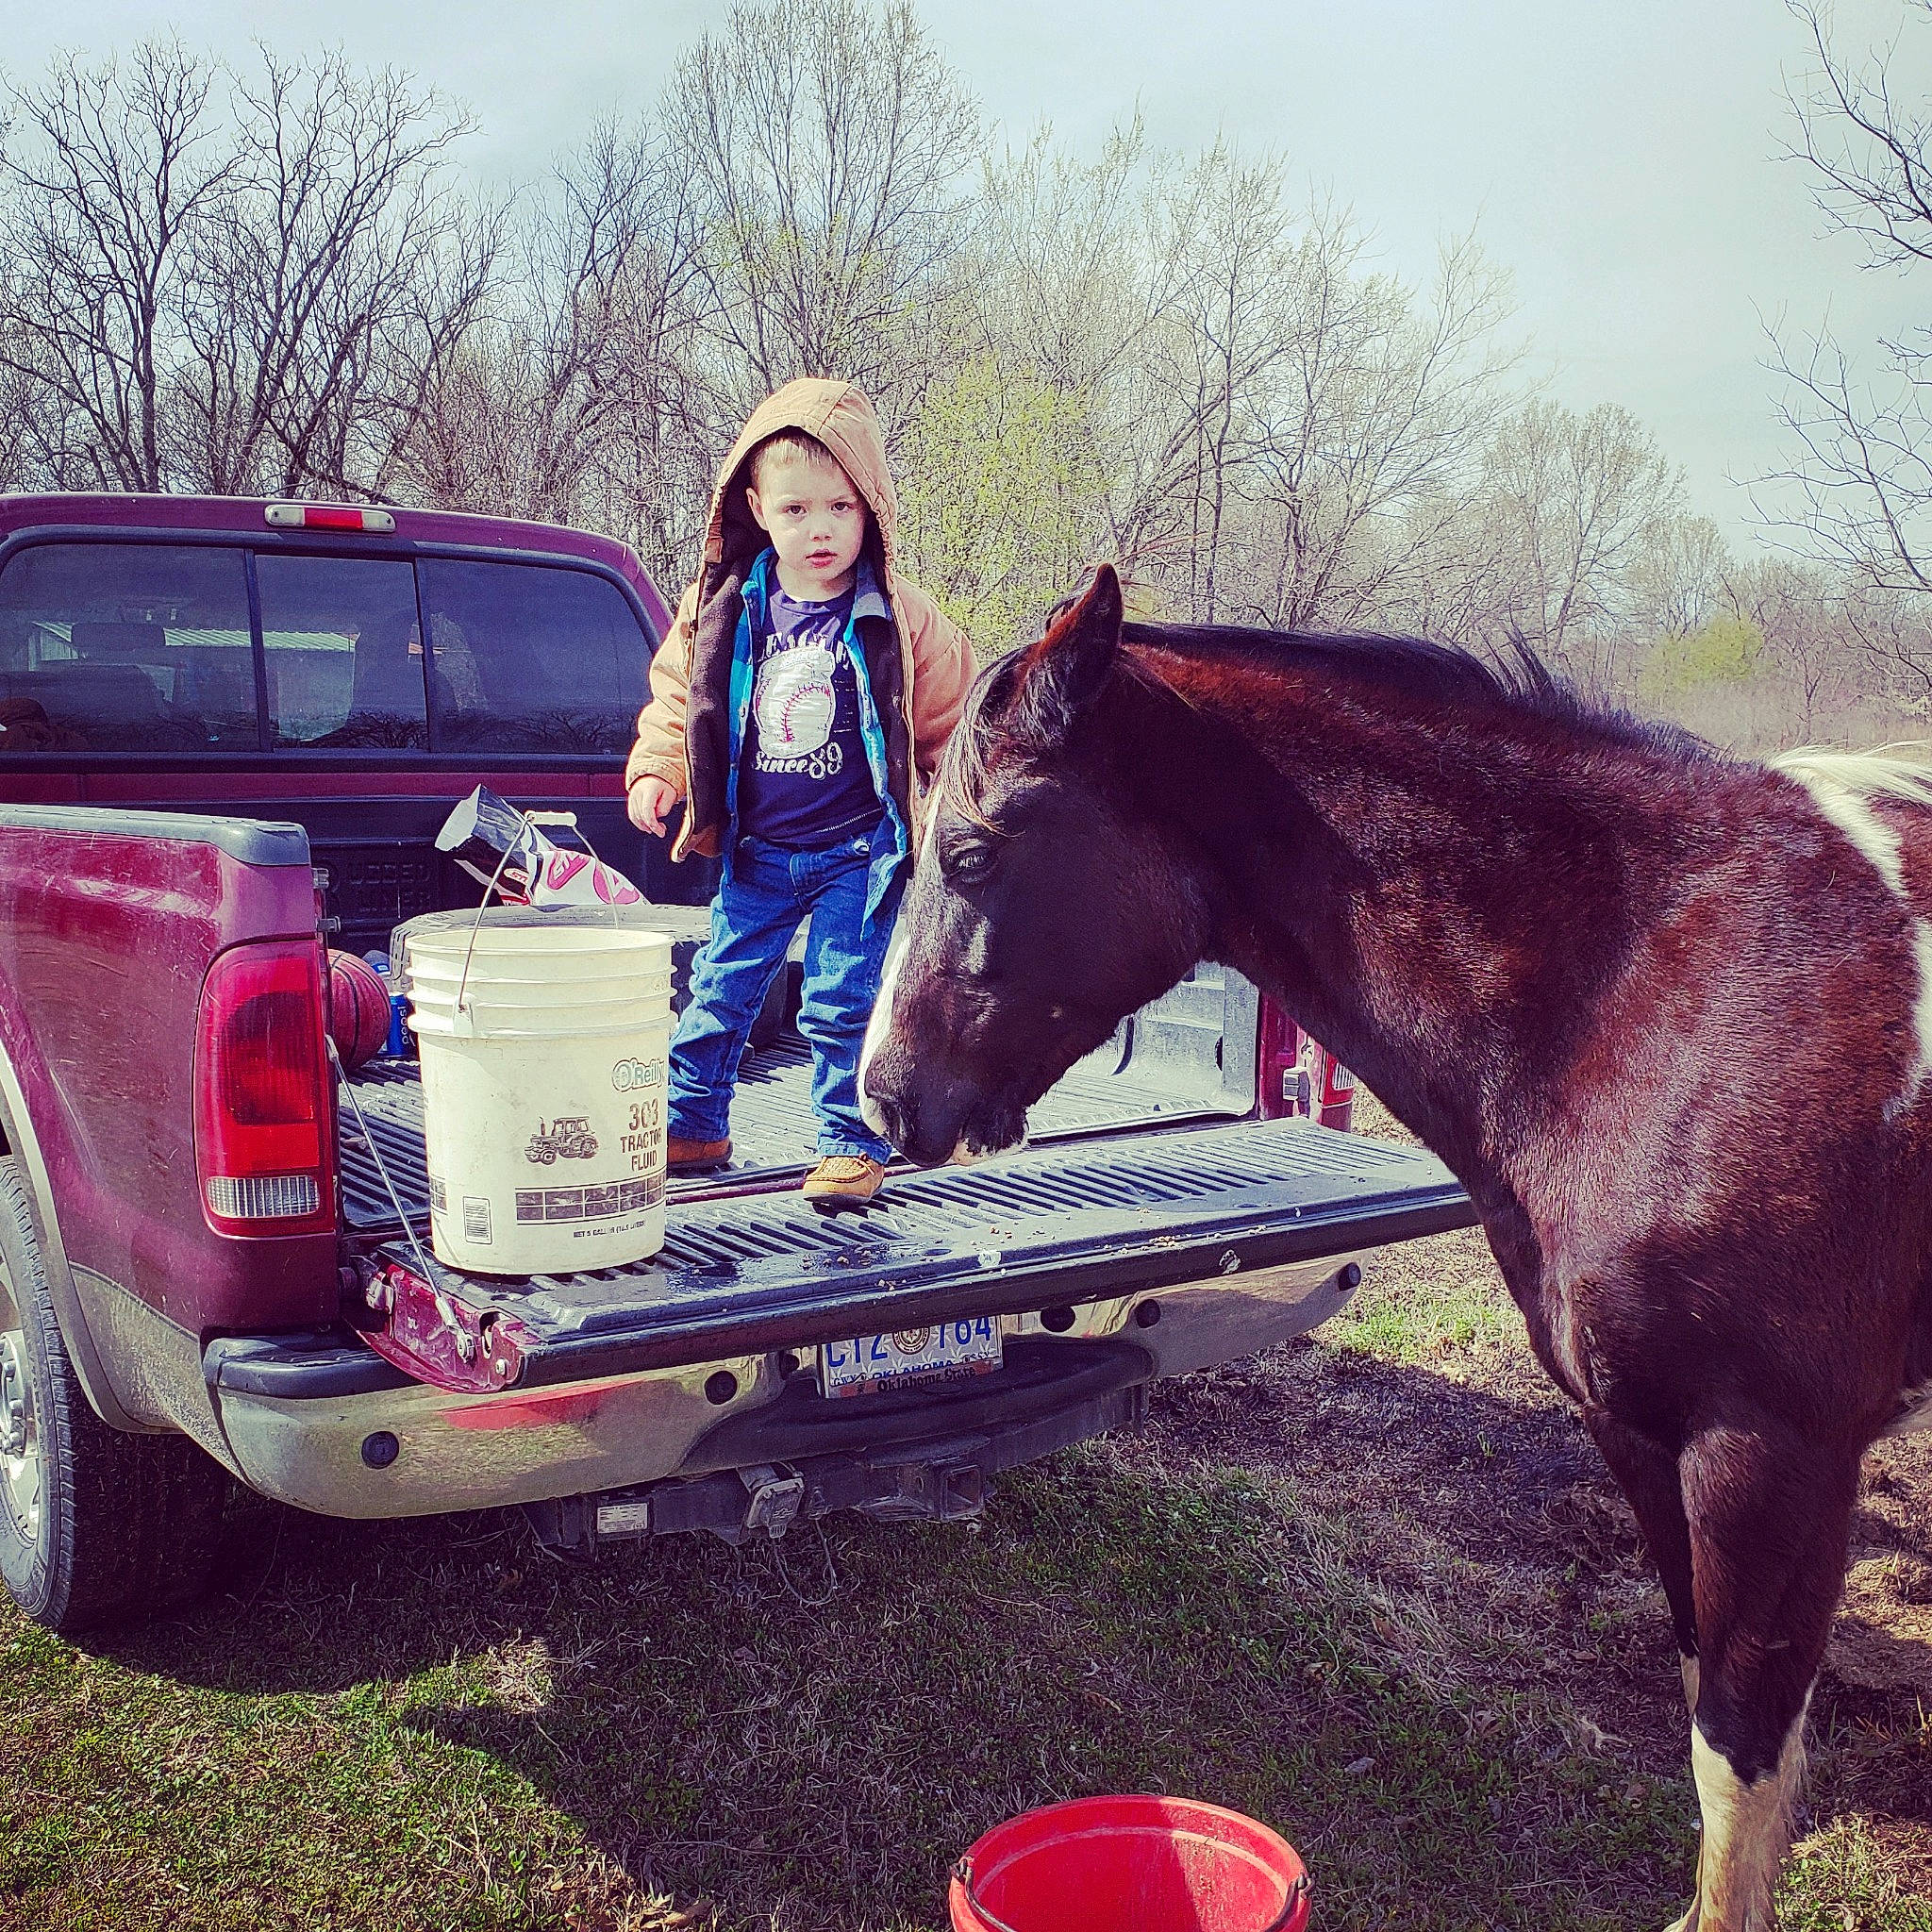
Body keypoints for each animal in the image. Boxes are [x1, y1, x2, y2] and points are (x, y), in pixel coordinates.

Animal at [858, 563, 1932, 1930]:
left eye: (972, 850)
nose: (885, 1097)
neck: (1661, 988)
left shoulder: (1772, 1457)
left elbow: (1741, 1759)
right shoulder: (1641, 1434)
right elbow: (1713, 1739)